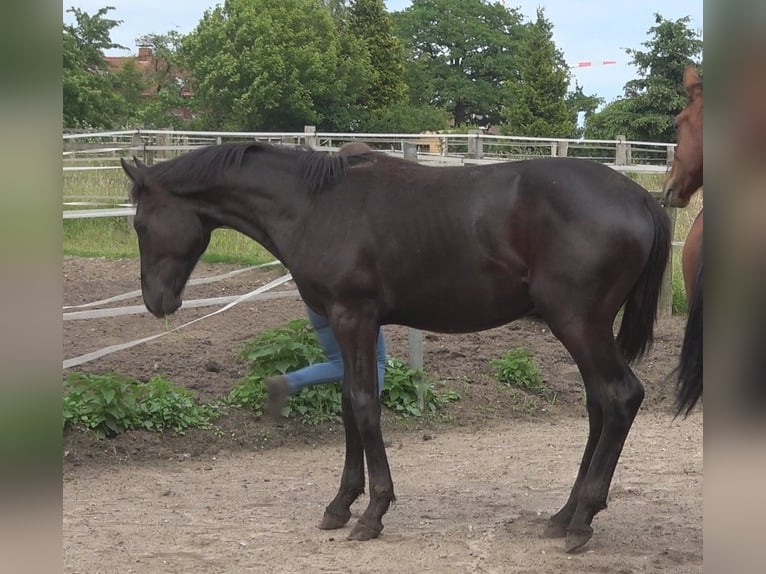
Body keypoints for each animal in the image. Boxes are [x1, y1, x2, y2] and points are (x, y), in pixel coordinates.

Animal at [121, 142, 672, 556]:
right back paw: (564, 514)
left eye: (141, 224)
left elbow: (365, 404)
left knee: (621, 397)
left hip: (579, 324)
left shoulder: (353, 317)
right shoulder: (349, 325)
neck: (315, 204)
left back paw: (583, 520)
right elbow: (348, 402)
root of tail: (638, 197)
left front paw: (372, 512)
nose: (156, 301)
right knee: (599, 405)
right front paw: (340, 505)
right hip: (582, 330)